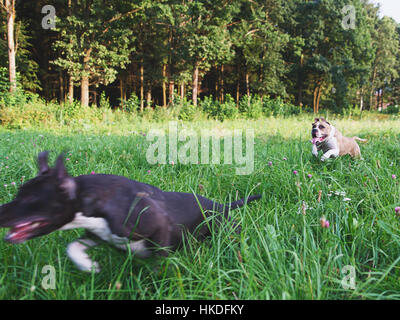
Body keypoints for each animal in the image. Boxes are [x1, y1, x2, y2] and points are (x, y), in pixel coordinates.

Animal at [0, 151, 260, 272]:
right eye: (19, 192)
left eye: (31, 198)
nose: (0, 212)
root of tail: (222, 206)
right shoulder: (97, 234)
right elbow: (72, 246)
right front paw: (87, 265)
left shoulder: (159, 225)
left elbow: (160, 260)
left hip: (226, 229)